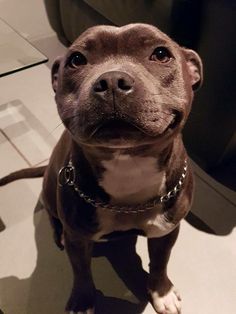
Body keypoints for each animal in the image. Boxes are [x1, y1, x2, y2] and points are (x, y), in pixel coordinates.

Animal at [0, 23, 203, 312]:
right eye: (76, 60)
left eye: (161, 54)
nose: (112, 81)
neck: (128, 165)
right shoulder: (78, 238)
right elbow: (81, 271)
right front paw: (82, 300)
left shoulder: (166, 231)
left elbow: (160, 263)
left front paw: (161, 292)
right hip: (50, 187)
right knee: (52, 215)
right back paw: (56, 233)